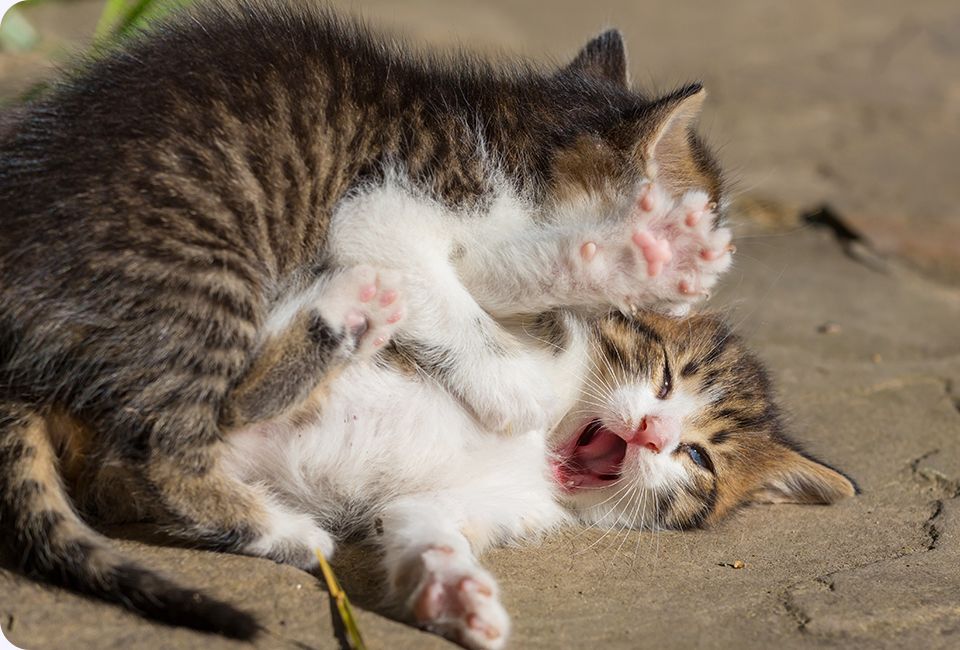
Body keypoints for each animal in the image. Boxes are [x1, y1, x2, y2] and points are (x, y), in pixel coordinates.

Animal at [0, 0, 732, 632]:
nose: (699, 307)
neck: (509, 142)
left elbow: (498, 273)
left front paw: (606, 264)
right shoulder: (380, 206)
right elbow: (456, 298)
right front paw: (632, 271)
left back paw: (342, 318)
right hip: (202, 271)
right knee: (172, 438)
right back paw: (285, 526)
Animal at [225, 306, 856, 648]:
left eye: (698, 457)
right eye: (666, 377)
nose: (652, 431)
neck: (538, 449)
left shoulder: (484, 501)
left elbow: (422, 523)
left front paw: (454, 592)